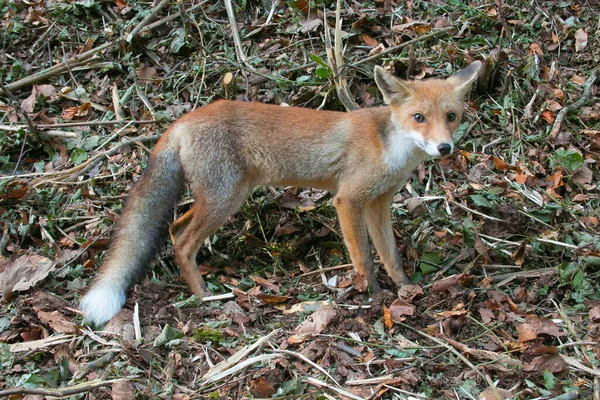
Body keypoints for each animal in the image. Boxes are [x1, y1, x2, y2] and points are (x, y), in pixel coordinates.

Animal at [79, 61, 482, 324]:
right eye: (418, 118)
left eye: (451, 117)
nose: (445, 148)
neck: (390, 149)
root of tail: (180, 121)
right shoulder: (349, 199)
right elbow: (365, 259)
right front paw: (373, 296)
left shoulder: (378, 203)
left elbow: (391, 256)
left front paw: (406, 290)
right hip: (225, 198)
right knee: (183, 241)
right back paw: (205, 295)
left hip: (222, 197)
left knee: (175, 228)